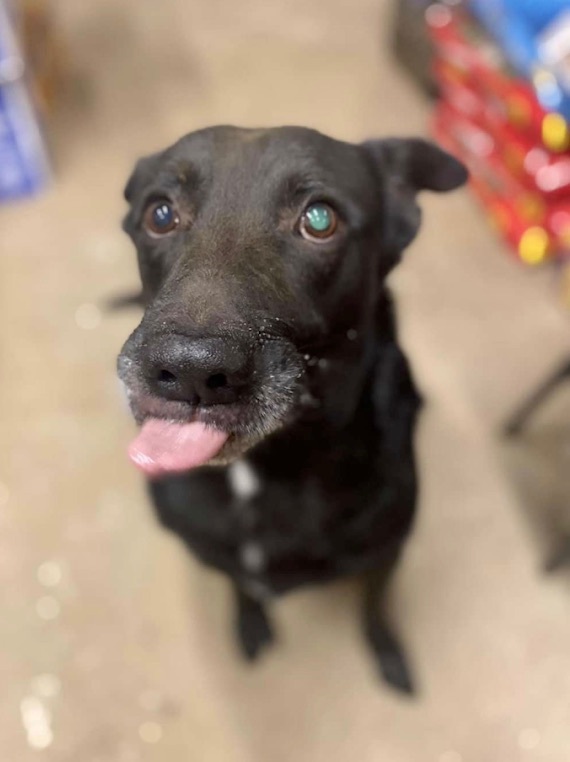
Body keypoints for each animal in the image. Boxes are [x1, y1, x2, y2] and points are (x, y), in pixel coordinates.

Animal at [116, 127, 466, 692]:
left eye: (320, 219)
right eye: (161, 213)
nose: (189, 370)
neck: (266, 470)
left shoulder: (387, 553)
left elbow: (377, 607)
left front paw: (388, 653)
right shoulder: (215, 554)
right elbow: (241, 585)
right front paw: (249, 621)